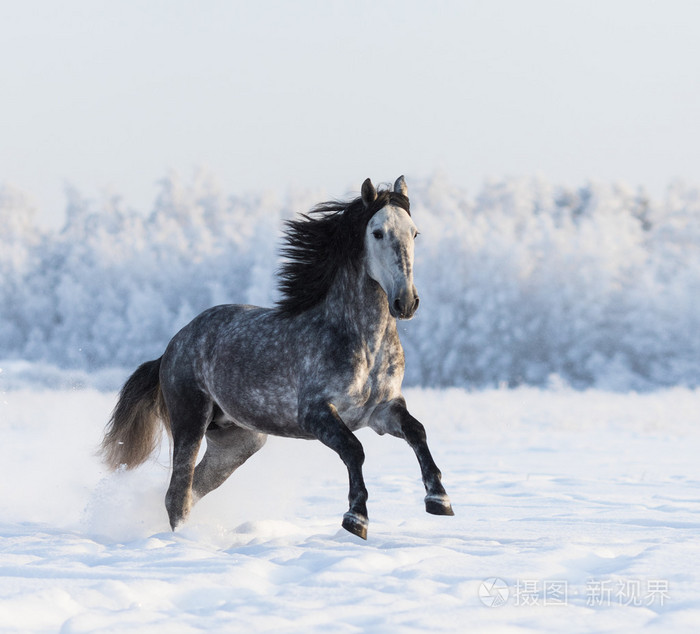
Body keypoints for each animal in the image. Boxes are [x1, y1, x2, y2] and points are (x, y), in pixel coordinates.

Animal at [100, 176, 453, 539]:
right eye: (378, 233)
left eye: (414, 233)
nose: (406, 302)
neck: (361, 341)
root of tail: (173, 345)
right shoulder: (315, 414)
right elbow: (355, 449)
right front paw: (356, 518)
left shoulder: (381, 411)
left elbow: (417, 431)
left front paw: (439, 499)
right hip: (190, 421)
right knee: (177, 494)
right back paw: (187, 540)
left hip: (238, 441)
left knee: (193, 489)